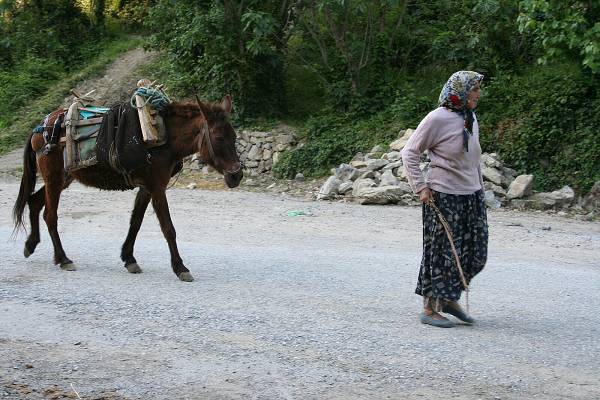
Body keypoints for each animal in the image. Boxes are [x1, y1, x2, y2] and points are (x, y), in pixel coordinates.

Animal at [11, 94, 243, 282]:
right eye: (219, 137)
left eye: (234, 137)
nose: (237, 175)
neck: (164, 138)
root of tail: (41, 127)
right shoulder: (157, 188)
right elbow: (168, 228)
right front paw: (180, 267)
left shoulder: (147, 188)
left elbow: (136, 222)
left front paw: (129, 258)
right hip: (54, 178)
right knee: (50, 215)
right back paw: (63, 258)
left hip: (63, 179)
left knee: (34, 202)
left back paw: (31, 244)